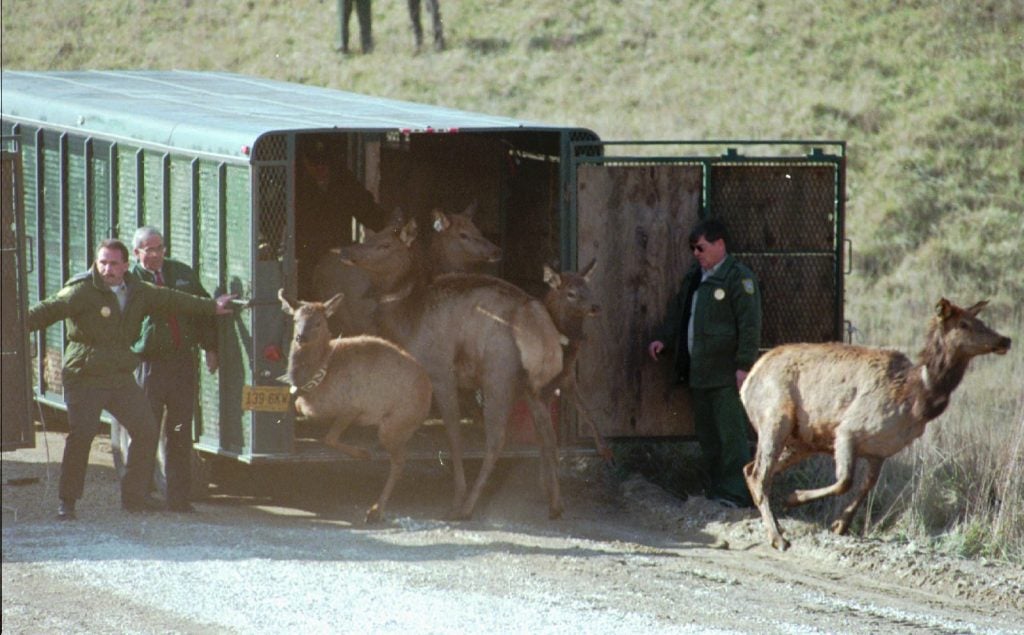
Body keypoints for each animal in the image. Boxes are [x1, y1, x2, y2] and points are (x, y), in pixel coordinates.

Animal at [276, 290, 432, 524]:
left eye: (319, 322)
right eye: (295, 319)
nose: (300, 337)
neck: (319, 377)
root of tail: (428, 393)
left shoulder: (353, 407)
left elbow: (329, 438)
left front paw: (363, 453)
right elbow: (301, 409)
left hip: (395, 423)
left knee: (399, 461)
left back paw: (375, 510)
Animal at [342, 218, 569, 520]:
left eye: (385, 245)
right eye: (369, 237)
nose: (347, 250)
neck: (406, 320)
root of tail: (540, 323)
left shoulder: (439, 371)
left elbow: (453, 435)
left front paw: (456, 498)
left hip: (498, 374)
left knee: (497, 439)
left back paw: (467, 506)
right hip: (533, 386)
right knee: (548, 434)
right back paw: (555, 504)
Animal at [540, 258, 610, 460]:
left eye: (589, 288)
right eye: (571, 293)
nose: (596, 306)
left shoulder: (568, 380)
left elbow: (587, 411)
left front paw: (606, 451)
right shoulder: (540, 390)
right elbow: (547, 438)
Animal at [741, 299, 1011, 548]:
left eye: (980, 320)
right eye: (964, 324)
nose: (1005, 339)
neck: (917, 399)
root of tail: (749, 380)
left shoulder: (880, 451)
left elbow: (866, 487)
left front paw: (840, 524)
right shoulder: (847, 430)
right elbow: (845, 482)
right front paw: (795, 498)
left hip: (802, 441)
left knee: (750, 468)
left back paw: (776, 525)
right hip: (775, 418)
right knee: (759, 474)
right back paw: (778, 537)